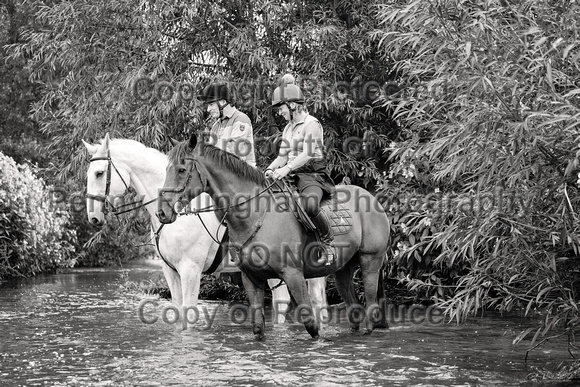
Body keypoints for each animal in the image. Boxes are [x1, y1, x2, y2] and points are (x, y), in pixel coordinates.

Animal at [156, 134, 390, 340]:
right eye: (166, 169)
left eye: (181, 169)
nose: (162, 212)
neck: (256, 213)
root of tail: (372, 198)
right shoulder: (251, 278)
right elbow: (258, 326)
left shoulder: (293, 274)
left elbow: (311, 324)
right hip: (343, 269)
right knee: (354, 309)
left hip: (370, 262)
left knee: (369, 308)